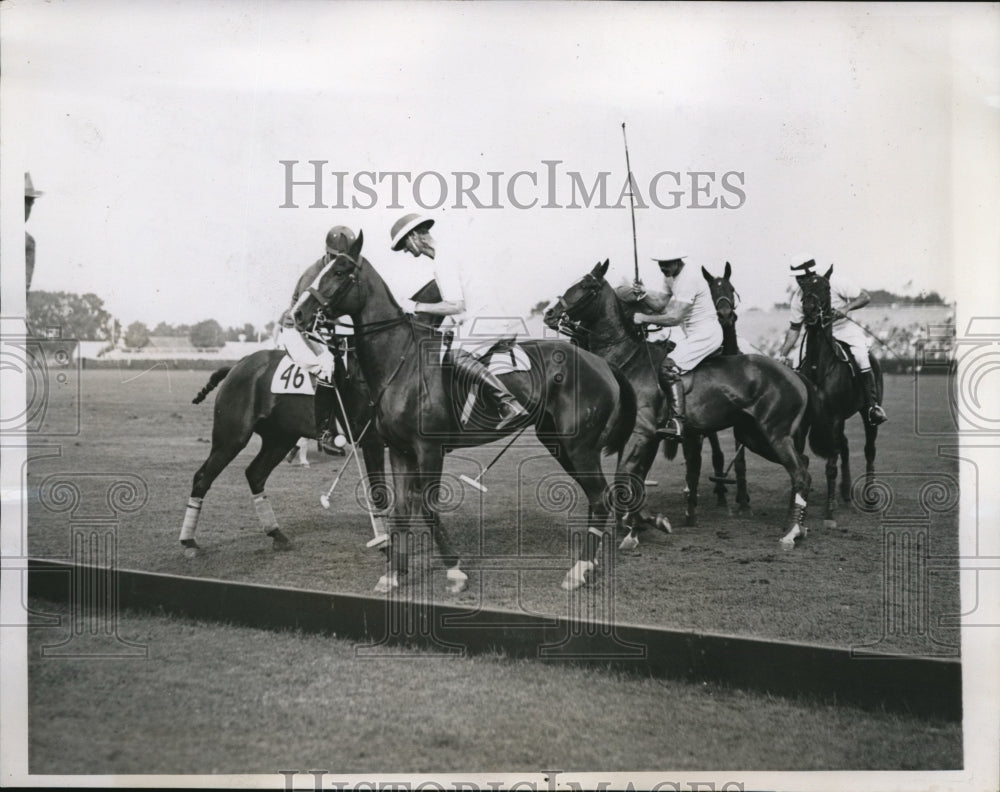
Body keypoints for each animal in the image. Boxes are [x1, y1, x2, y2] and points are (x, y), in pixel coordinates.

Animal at [178, 342, 384, 556]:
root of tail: (238, 364)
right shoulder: (372, 440)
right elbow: (380, 492)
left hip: (279, 439)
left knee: (255, 474)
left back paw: (276, 533)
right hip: (231, 438)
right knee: (203, 477)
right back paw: (189, 541)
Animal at [292, 232, 632, 592]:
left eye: (340, 271)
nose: (298, 314)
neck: (401, 362)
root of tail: (601, 362)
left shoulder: (429, 449)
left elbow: (427, 507)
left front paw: (454, 570)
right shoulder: (399, 451)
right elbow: (400, 511)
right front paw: (393, 574)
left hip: (580, 446)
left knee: (600, 497)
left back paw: (578, 570)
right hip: (560, 444)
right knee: (598, 497)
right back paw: (590, 564)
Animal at [548, 260, 836, 552]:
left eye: (587, 287)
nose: (550, 313)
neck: (629, 359)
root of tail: (794, 373)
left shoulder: (641, 434)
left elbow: (624, 477)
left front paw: (648, 523)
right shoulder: (648, 438)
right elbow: (635, 481)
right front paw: (634, 527)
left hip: (775, 434)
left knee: (800, 473)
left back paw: (791, 532)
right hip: (754, 437)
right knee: (803, 463)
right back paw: (799, 526)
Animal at [796, 270, 884, 528]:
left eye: (826, 287)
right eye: (804, 288)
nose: (810, 311)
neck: (819, 367)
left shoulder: (833, 418)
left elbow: (830, 466)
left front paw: (829, 513)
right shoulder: (809, 421)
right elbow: (801, 459)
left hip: (866, 415)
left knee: (868, 451)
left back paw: (869, 498)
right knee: (844, 447)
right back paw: (844, 492)